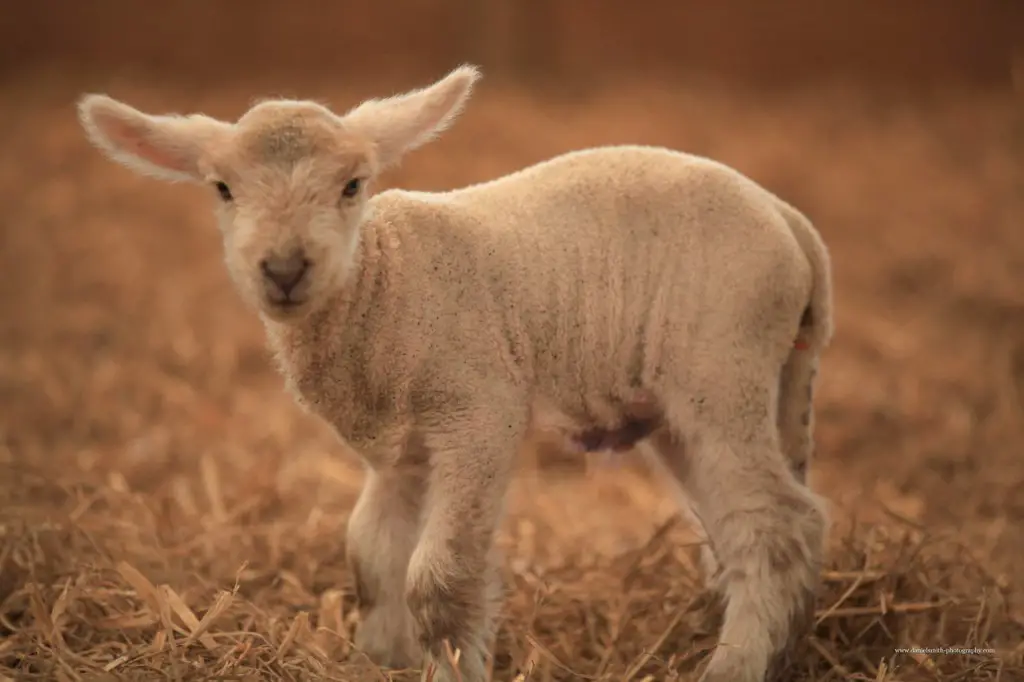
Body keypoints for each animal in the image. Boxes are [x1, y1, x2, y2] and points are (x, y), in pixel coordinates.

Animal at [76, 64, 834, 682]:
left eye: (352, 185)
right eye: (223, 189)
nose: (285, 269)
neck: (386, 282)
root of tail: (792, 223)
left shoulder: (478, 413)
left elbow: (437, 581)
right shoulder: (399, 451)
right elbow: (371, 557)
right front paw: (378, 660)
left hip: (723, 365)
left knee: (776, 527)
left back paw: (734, 665)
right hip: (701, 400)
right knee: (744, 527)